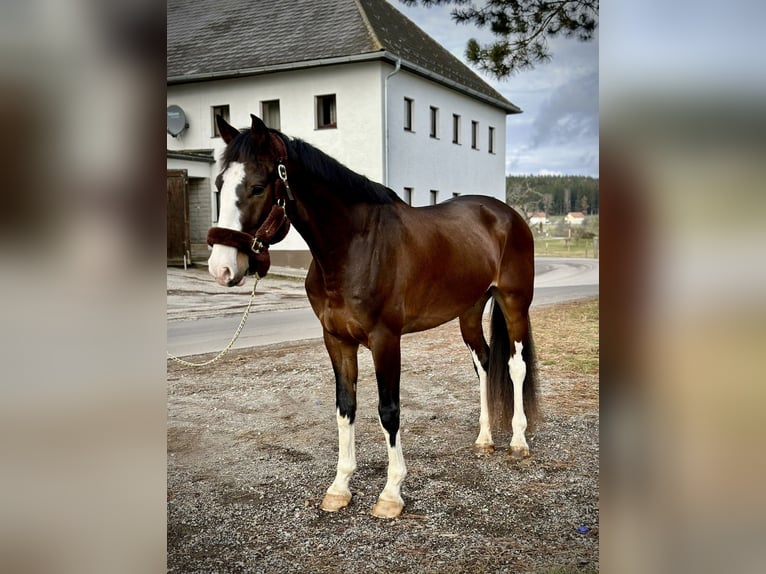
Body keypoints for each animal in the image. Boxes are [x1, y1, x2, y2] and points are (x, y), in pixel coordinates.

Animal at [207, 115, 536, 520]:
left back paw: (518, 441)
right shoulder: (336, 340)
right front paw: (339, 487)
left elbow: (388, 410)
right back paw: (485, 439)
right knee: (486, 364)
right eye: (219, 185)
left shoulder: (385, 340)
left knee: (516, 366)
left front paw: (391, 493)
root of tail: (507, 215)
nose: (221, 268)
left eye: (256, 186)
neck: (353, 246)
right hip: (470, 312)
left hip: (514, 303)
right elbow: (345, 407)